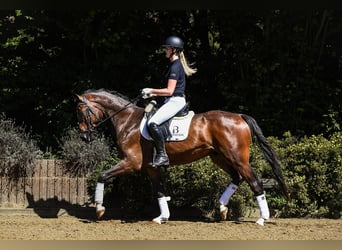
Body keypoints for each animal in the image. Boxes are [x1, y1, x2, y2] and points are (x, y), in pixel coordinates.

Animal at [73, 89, 290, 226]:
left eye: (81, 111)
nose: (83, 137)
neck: (127, 121)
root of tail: (239, 116)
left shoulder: (131, 163)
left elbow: (102, 175)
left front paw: (99, 208)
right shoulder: (151, 167)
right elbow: (159, 191)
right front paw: (162, 217)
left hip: (238, 158)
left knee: (254, 182)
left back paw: (262, 218)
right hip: (218, 157)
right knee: (237, 178)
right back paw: (222, 208)